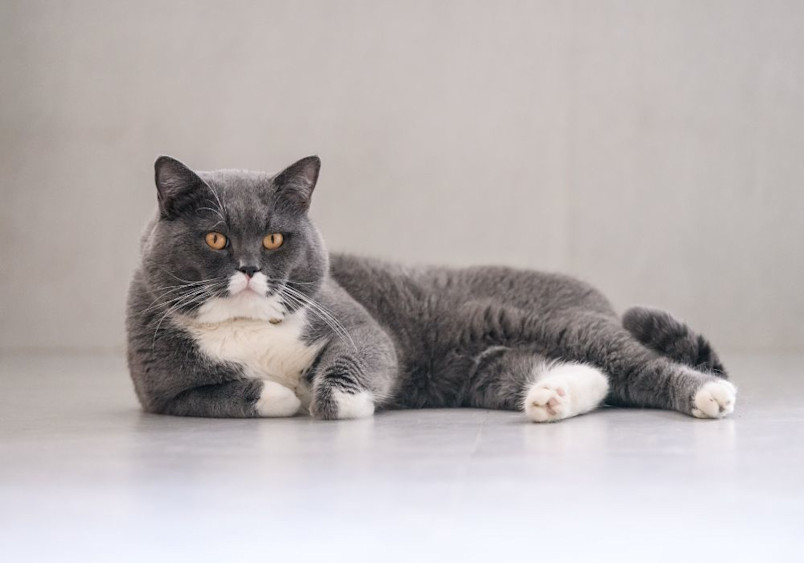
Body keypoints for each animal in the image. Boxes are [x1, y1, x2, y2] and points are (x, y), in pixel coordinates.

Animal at [129, 156, 740, 420]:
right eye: (215, 238)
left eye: (275, 238)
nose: (251, 267)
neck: (247, 327)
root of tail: (599, 299)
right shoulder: (159, 389)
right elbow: (212, 396)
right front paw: (280, 395)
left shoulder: (353, 321)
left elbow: (357, 358)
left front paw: (338, 400)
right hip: (481, 369)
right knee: (588, 375)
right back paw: (552, 398)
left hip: (557, 321)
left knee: (634, 363)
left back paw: (709, 395)